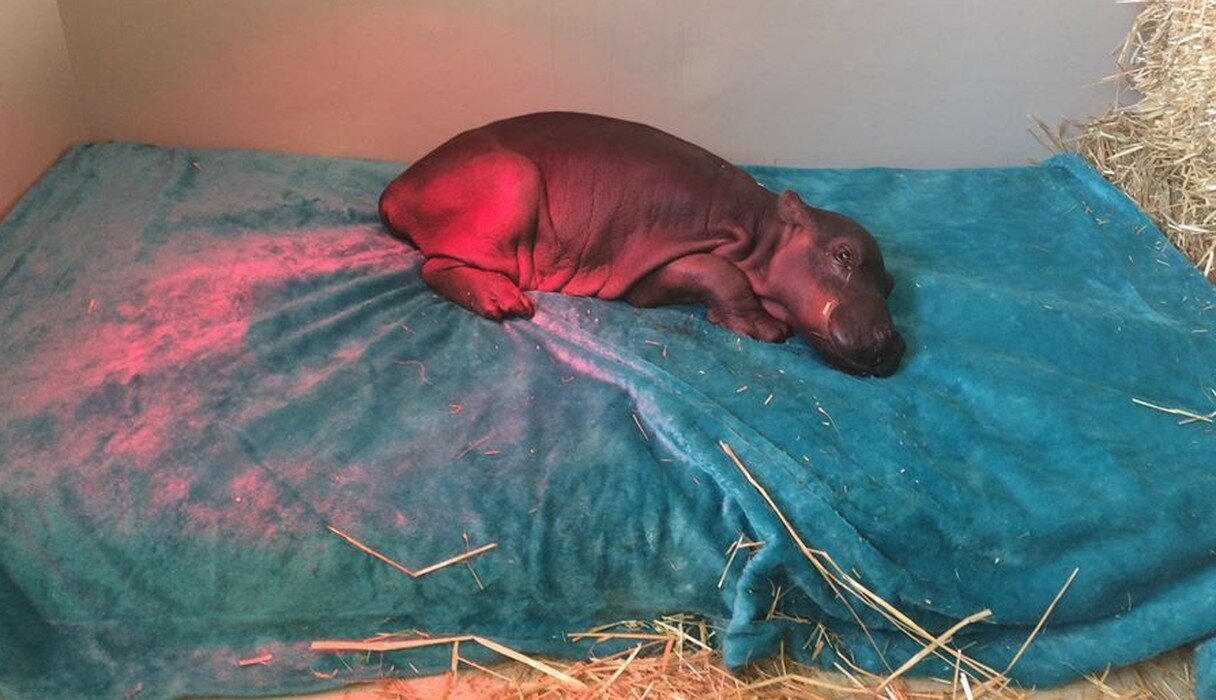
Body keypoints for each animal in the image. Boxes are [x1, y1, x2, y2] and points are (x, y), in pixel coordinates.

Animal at [379, 112, 905, 377]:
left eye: (891, 286)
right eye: (843, 254)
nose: (891, 343)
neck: (767, 234)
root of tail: (395, 188)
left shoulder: (655, 276)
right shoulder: (671, 258)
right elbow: (724, 274)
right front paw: (766, 329)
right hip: (512, 178)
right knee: (435, 266)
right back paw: (502, 301)